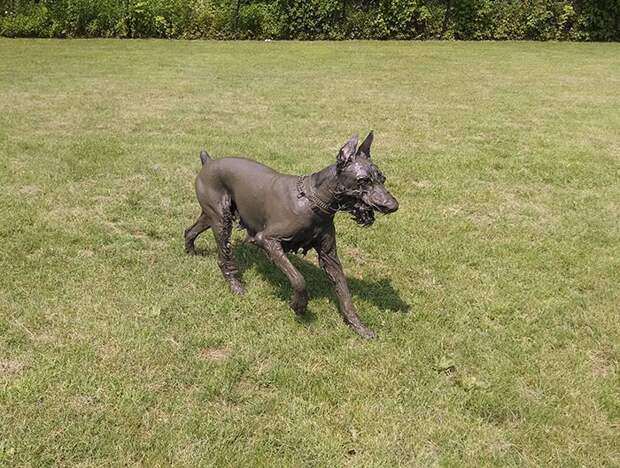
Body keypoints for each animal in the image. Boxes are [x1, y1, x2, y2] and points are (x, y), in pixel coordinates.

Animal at [183, 132, 398, 336]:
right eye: (363, 181)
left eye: (382, 179)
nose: (393, 205)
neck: (311, 201)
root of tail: (208, 161)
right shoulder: (267, 240)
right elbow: (298, 280)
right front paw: (298, 305)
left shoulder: (330, 257)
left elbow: (344, 292)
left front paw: (358, 326)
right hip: (222, 221)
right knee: (223, 258)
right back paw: (236, 286)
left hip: (212, 216)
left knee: (189, 231)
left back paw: (190, 251)